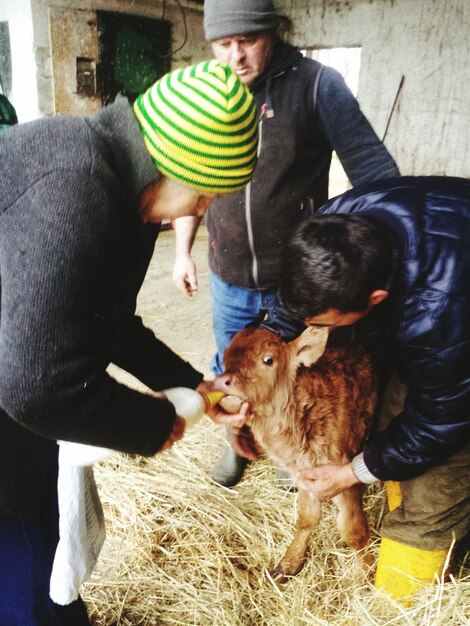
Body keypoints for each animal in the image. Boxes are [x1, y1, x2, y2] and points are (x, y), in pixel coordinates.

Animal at [213, 326, 378, 580]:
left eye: (268, 360)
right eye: (226, 357)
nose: (222, 381)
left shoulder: (341, 471)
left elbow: (353, 529)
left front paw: (367, 570)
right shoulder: (304, 473)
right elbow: (307, 519)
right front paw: (290, 562)